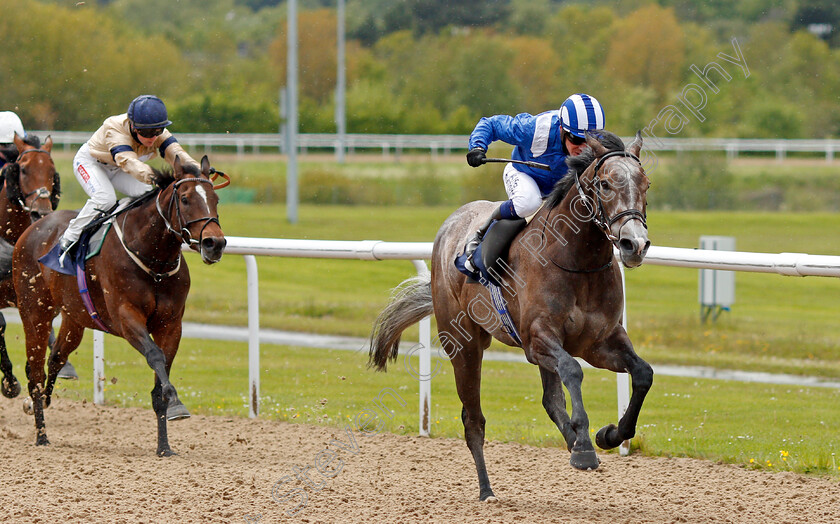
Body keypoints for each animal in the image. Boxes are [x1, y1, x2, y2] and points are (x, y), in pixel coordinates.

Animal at [12, 155, 226, 454]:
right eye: (184, 199)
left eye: (215, 198)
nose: (214, 243)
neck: (154, 262)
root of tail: (32, 229)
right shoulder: (126, 317)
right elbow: (155, 356)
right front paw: (174, 398)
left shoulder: (171, 324)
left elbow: (160, 376)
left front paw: (164, 445)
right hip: (35, 312)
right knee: (34, 371)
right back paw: (41, 434)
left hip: (74, 317)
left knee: (56, 359)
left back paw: (42, 401)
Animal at [370, 130, 652, 500]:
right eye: (605, 184)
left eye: (646, 183)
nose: (635, 244)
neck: (577, 261)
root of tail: (450, 225)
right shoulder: (537, 339)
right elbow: (573, 370)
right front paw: (584, 448)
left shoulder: (600, 341)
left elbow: (642, 373)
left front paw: (608, 435)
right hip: (463, 345)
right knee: (473, 419)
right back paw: (486, 490)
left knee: (551, 400)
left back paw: (572, 440)